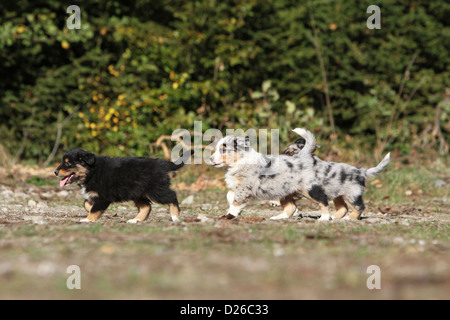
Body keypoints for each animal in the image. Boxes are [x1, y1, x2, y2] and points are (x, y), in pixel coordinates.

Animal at [55, 149, 192, 224]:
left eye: (68, 163)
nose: (55, 172)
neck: (91, 171)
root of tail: (163, 164)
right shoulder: (94, 196)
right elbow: (86, 204)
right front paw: (90, 213)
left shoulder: (103, 197)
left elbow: (94, 209)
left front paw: (88, 219)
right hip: (138, 193)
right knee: (146, 207)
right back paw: (135, 220)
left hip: (155, 190)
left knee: (172, 196)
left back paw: (175, 217)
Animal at [211, 127, 390, 220]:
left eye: (224, 150)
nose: (211, 159)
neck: (239, 162)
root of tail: (360, 170)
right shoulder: (236, 187)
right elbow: (229, 195)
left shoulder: (245, 188)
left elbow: (236, 201)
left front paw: (231, 213)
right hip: (288, 192)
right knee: (292, 208)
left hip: (319, 191)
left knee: (334, 204)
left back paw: (328, 219)